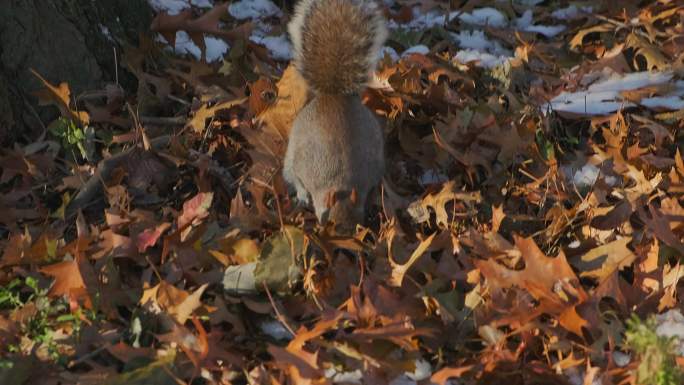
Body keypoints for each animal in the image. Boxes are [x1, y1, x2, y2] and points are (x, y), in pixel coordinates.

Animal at [284, 0, 390, 231]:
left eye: (358, 221)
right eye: (329, 220)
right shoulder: (304, 167)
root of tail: (333, 95)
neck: (341, 182)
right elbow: (300, 181)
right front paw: (303, 195)